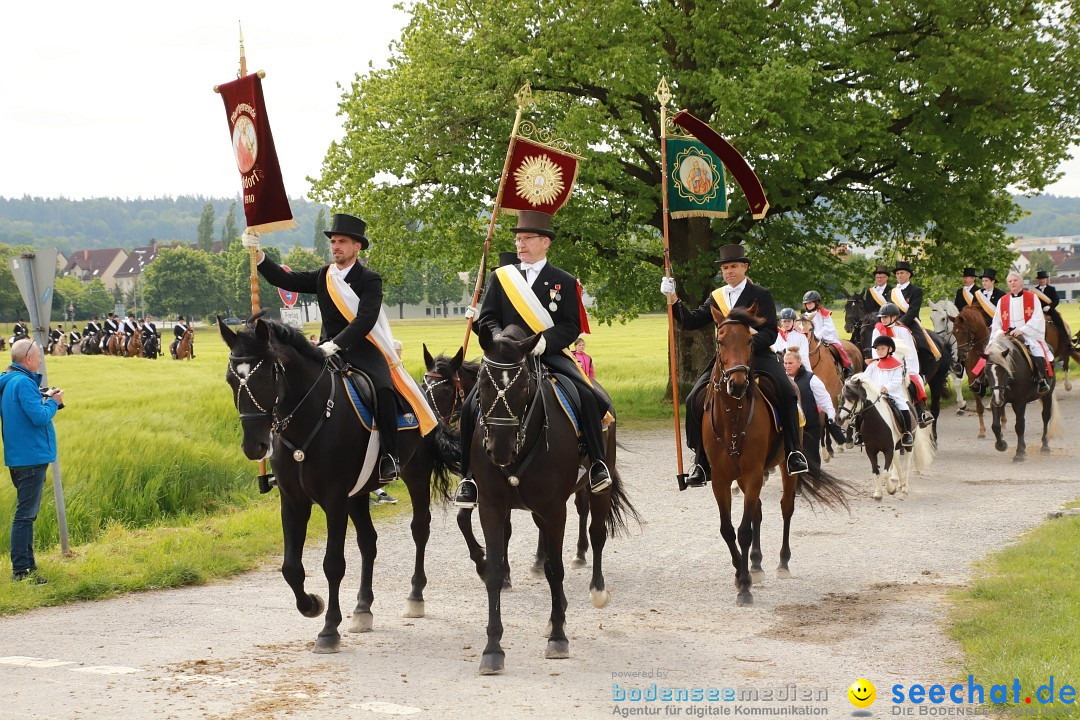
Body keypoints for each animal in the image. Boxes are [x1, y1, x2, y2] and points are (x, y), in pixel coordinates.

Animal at [217, 315, 457, 651]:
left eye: (265, 376)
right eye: (230, 379)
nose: (254, 446)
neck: (310, 416)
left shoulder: (334, 500)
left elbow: (333, 564)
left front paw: (329, 628)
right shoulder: (294, 500)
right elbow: (291, 567)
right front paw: (311, 606)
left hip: (415, 474)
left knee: (420, 529)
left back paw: (415, 597)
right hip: (358, 493)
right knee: (368, 542)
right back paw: (362, 609)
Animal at [468, 325, 635, 677]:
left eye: (523, 386)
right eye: (484, 384)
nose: (499, 449)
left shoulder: (555, 508)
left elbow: (555, 570)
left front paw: (558, 637)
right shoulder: (491, 507)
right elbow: (494, 572)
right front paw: (492, 649)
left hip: (596, 488)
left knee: (597, 534)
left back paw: (596, 590)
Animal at [708, 306, 851, 604]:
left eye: (749, 341)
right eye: (720, 341)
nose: (737, 384)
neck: (733, 418)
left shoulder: (752, 473)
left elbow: (744, 530)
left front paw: (744, 586)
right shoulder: (721, 479)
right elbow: (728, 529)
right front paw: (741, 572)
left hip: (785, 468)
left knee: (786, 508)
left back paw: (782, 563)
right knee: (758, 511)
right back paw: (755, 563)